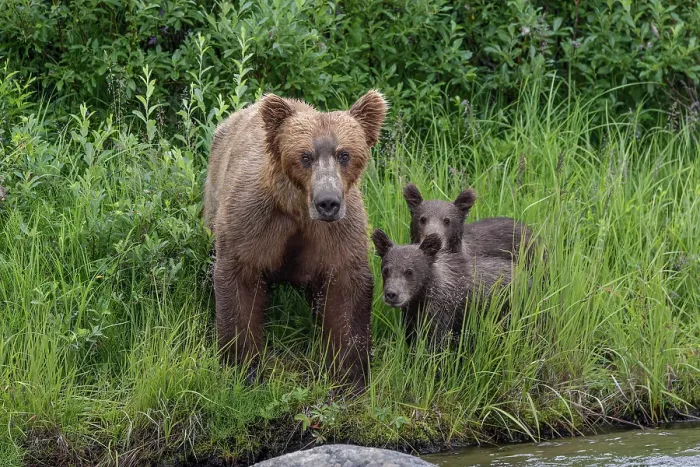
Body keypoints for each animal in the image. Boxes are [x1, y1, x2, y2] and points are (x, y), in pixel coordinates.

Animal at [204, 90, 388, 392]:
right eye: (305, 156)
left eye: (344, 154)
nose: (328, 202)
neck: (298, 210)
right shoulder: (255, 221)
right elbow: (240, 280)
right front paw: (243, 367)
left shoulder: (338, 233)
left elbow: (345, 290)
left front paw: (349, 376)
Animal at [371, 229, 512, 348]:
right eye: (386, 270)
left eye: (409, 271)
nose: (391, 294)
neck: (420, 297)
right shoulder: (412, 316)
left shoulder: (442, 314)